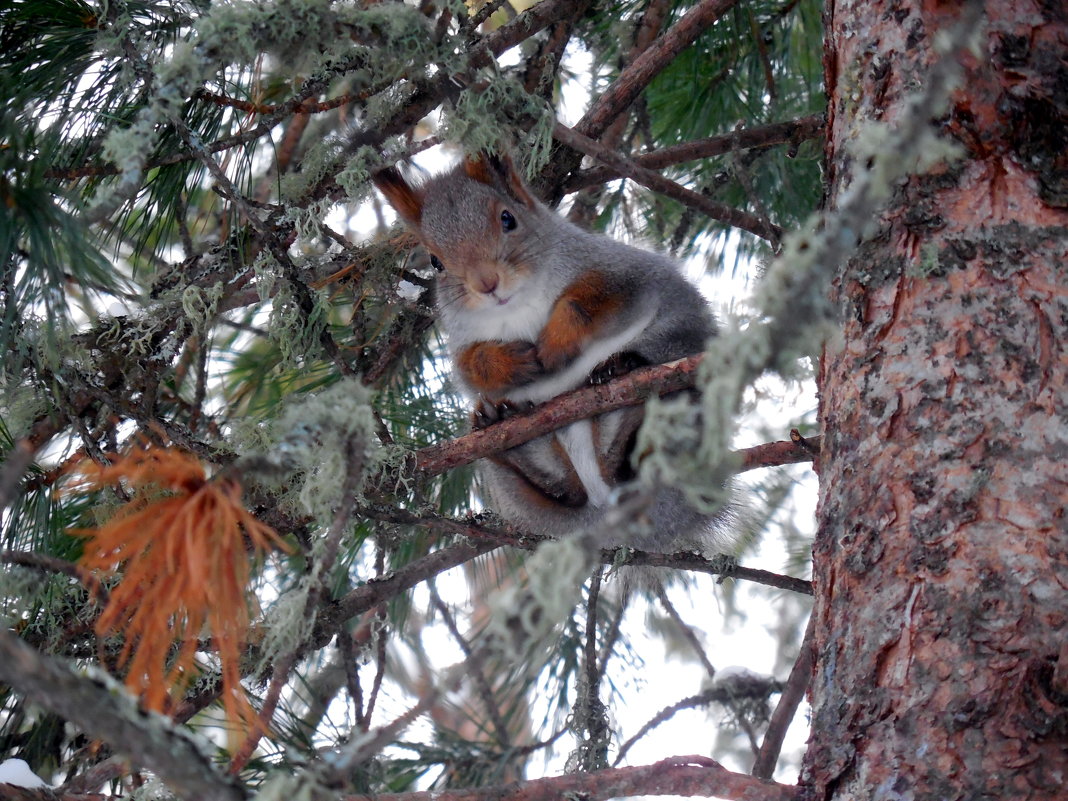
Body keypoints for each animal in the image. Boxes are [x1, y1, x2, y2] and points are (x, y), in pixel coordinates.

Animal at [373, 153, 717, 555]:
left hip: (680, 339)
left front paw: (555, 341)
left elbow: (590, 300)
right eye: (435, 261)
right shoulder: (462, 339)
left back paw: (625, 371)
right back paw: (501, 427)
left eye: (508, 219)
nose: (486, 283)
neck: (518, 304)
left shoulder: (622, 272)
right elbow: (472, 368)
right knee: (567, 487)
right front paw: (512, 361)